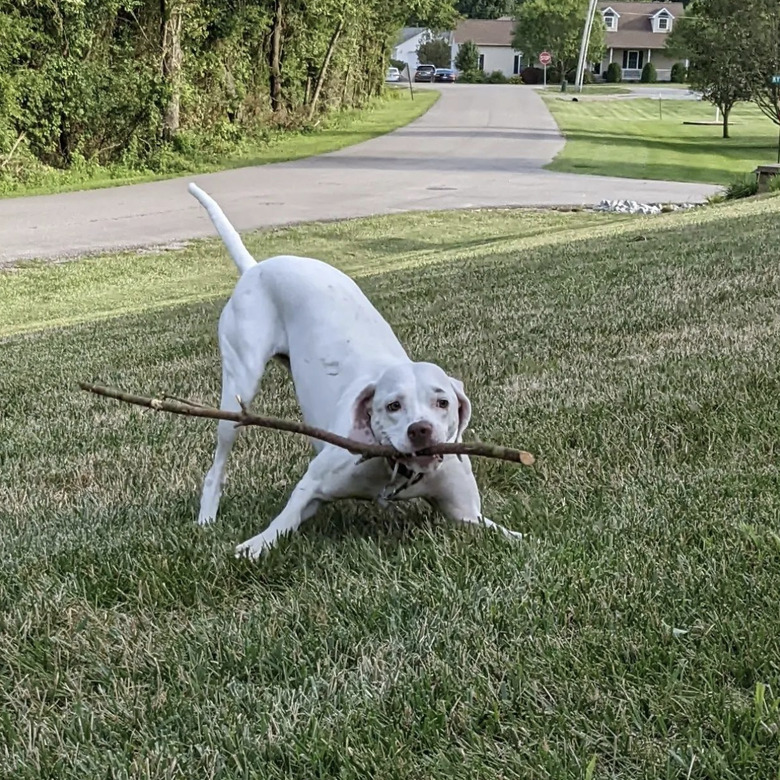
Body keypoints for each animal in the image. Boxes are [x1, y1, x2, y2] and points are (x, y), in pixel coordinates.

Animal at [187, 184, 524, 556]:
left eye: (443, 403)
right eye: (392, 405)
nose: (420, 430)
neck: (395, 473)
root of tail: (257, 267)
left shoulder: (466, 513)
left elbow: (505, 534)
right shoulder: (312, 484)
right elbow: (281, 524)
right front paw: (255, 546)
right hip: (238, 392)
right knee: (217, 465)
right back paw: (206, 517)